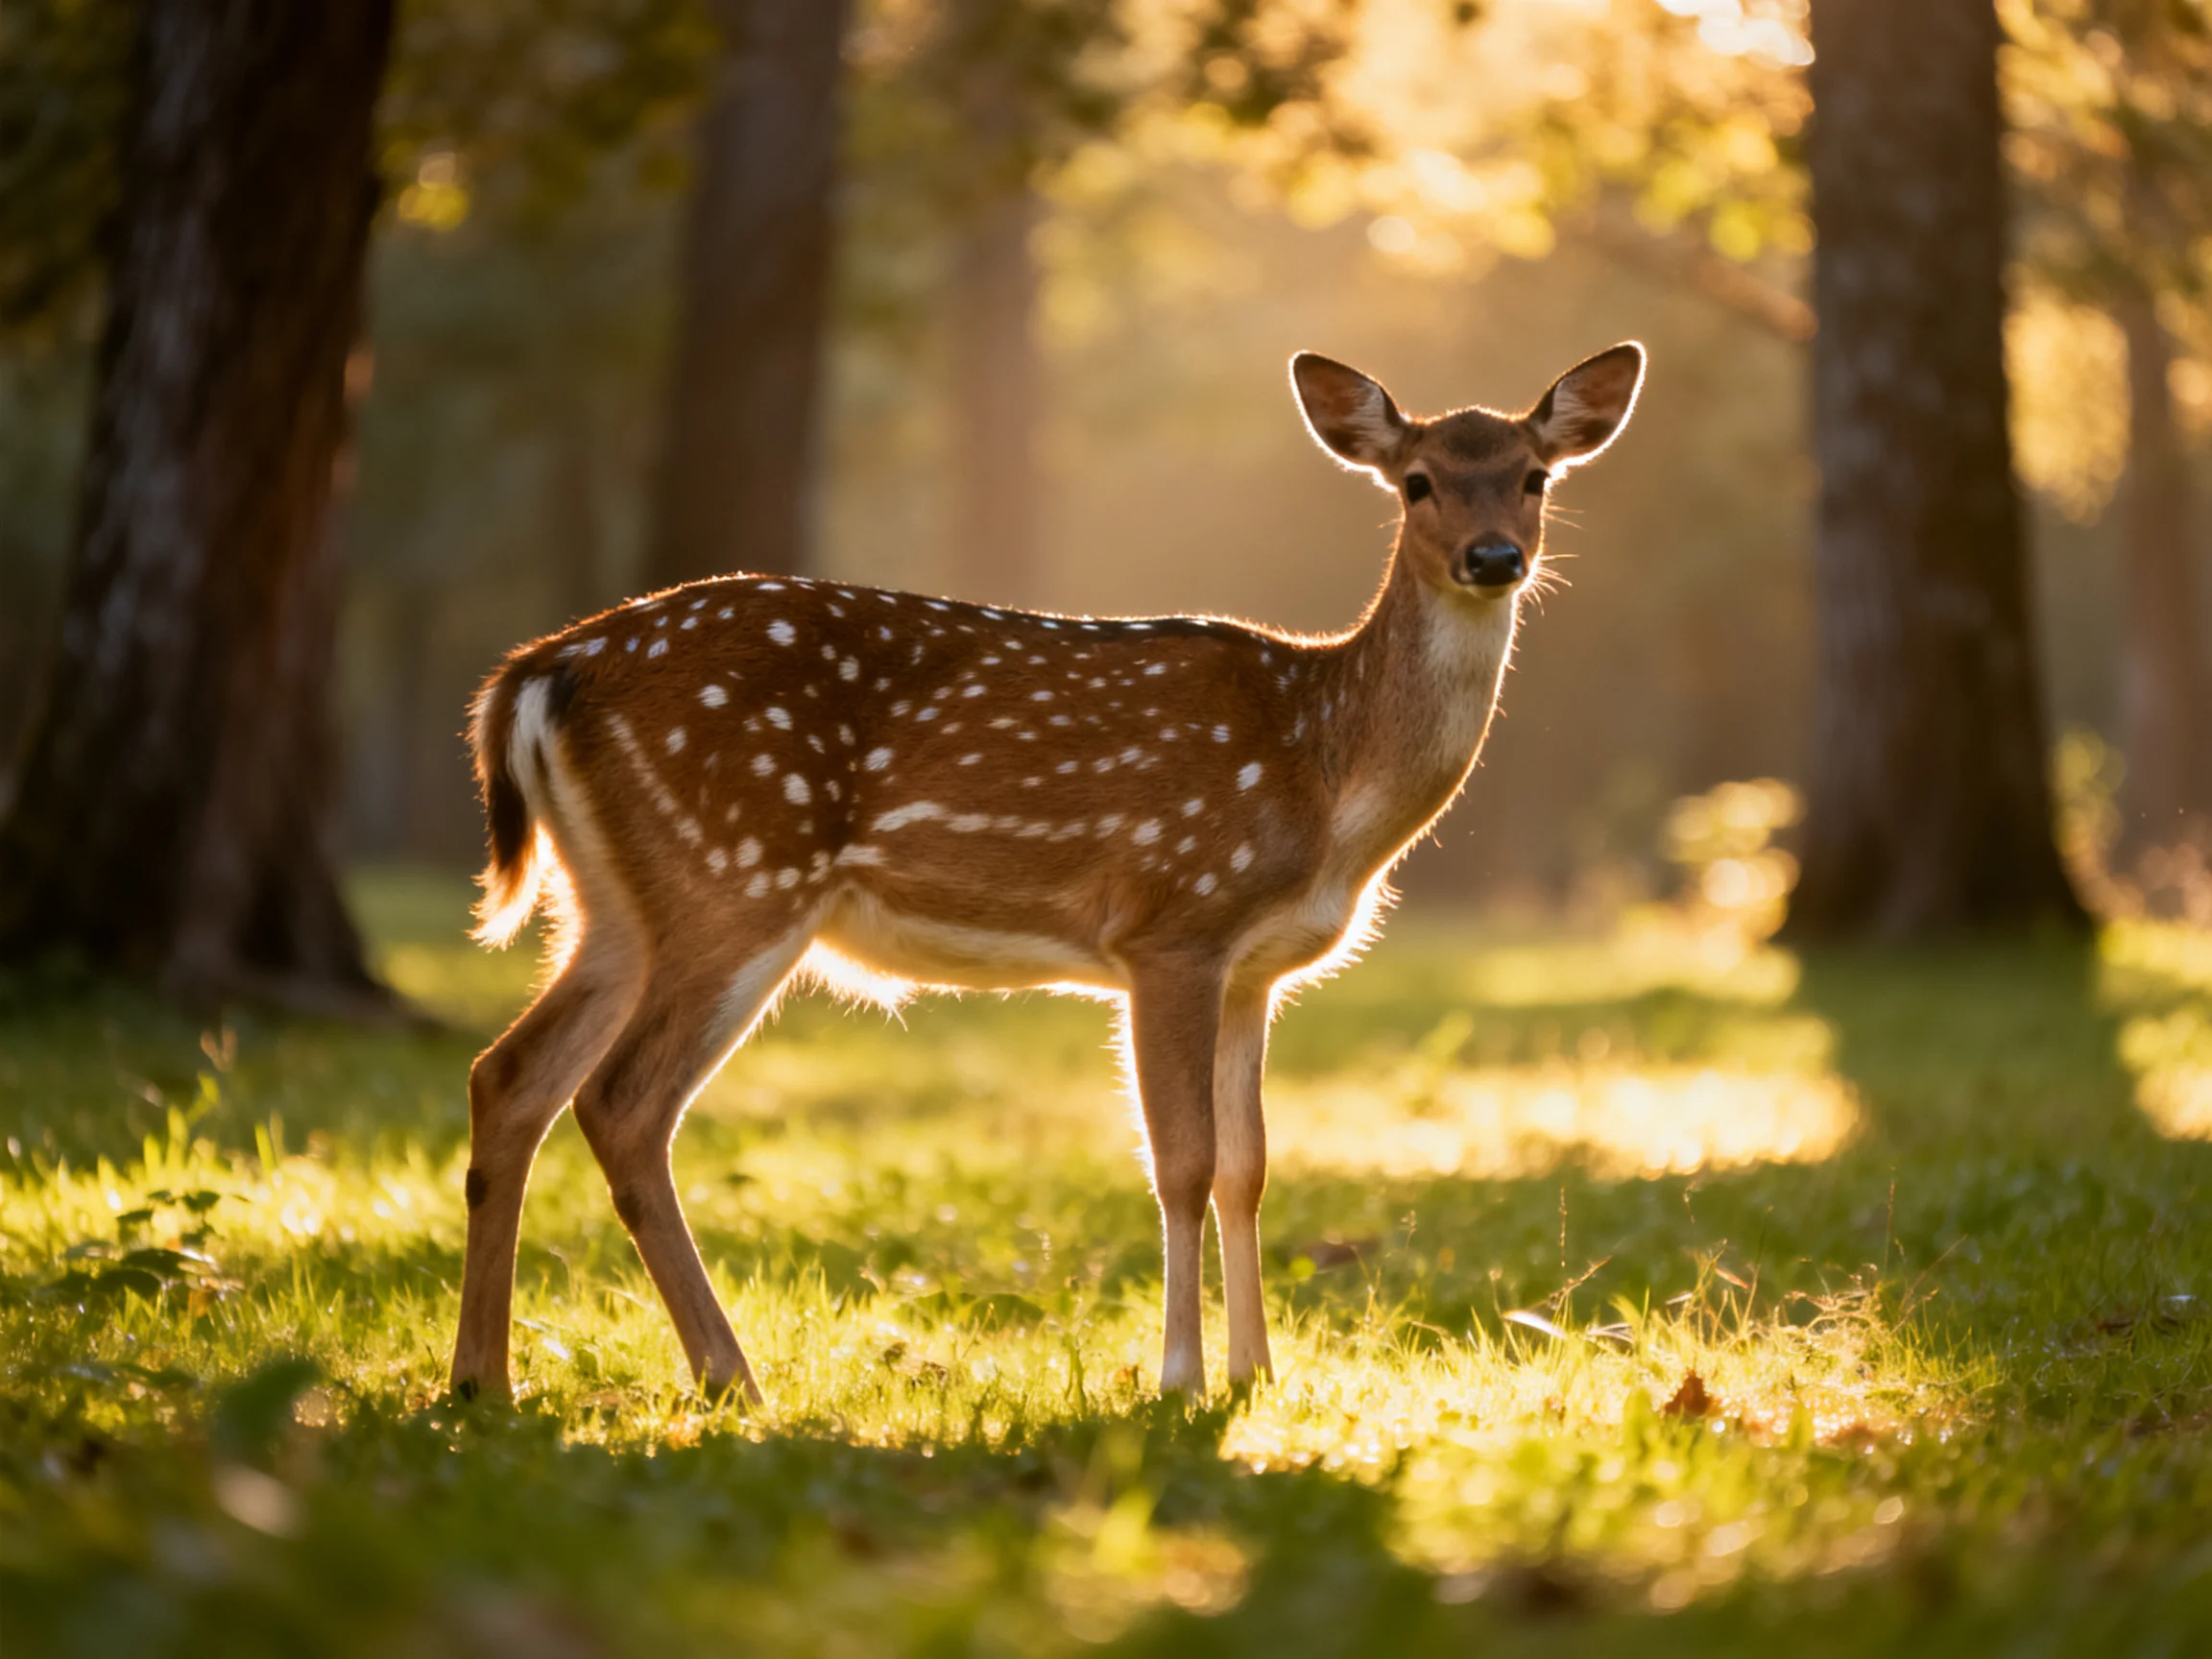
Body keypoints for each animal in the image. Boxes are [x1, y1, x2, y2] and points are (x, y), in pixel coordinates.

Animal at [448, 343, 1645, 1405]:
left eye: (1535, 475)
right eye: (1417, 481)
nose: (1494, 557)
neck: (1328, 773)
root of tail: (540, 670)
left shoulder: (1256, 971)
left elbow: (1251, 1164)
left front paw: (1260, 1372)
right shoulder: (1173, 922)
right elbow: (1183, 1162)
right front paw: (1180, 1378)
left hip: (613, 905)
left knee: (511, 1075)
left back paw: (484, 1381)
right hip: (735, 872)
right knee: (623, 1101)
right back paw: (728, 1377)